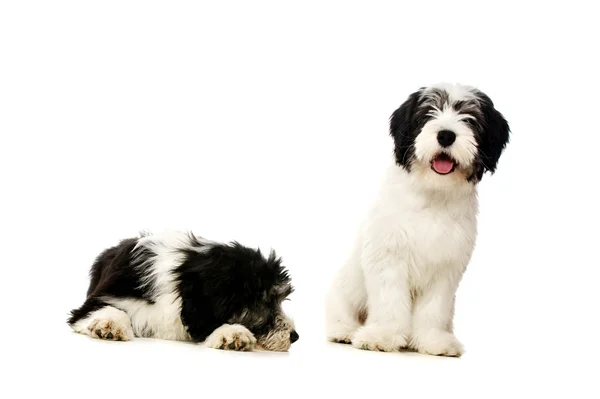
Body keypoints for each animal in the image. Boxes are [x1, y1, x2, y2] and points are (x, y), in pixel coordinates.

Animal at [68, 231, 298, 354]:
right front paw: (109, 324)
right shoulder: (103, 297)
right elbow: (106, 309)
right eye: (266, 302)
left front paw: (232, 333)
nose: (295, 337)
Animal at [326, 83, 508, 358]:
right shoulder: (389, 257)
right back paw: (345, 331)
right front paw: (382, 335)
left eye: (469, 119)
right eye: (428, 113)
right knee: (340, 312)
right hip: (344, 288)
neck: (433, 194)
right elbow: (389, 301)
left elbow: (434, 308)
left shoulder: (446, 267)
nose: (446, 135)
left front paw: (433, 341)